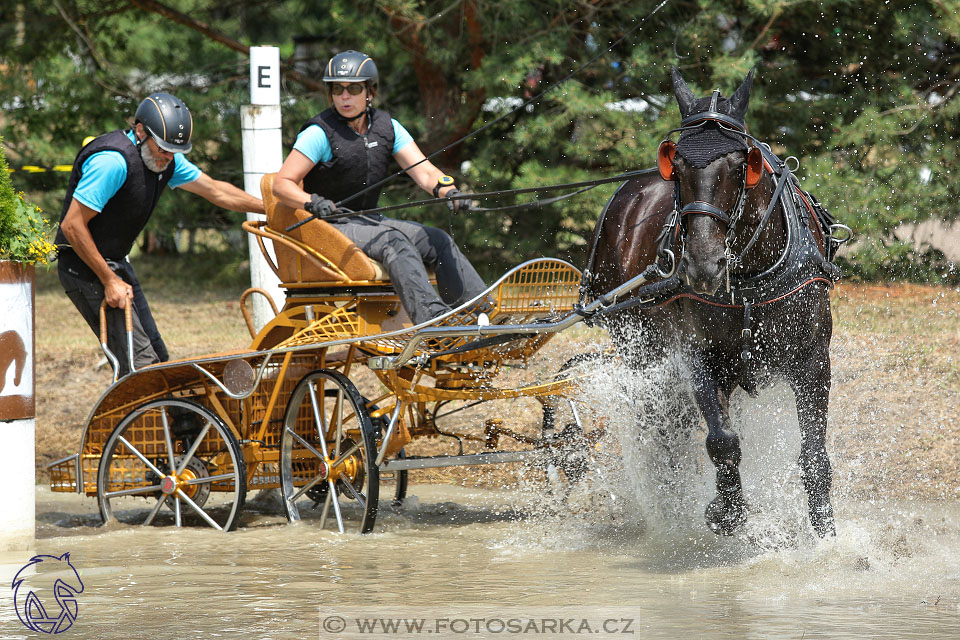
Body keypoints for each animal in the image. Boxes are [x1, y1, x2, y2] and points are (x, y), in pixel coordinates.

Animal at [584, 69, 848, 536]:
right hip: (640, 346)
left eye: (743, 164)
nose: (703, 264)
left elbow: (814, 458)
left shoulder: (813, 359)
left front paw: (828, 539)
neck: (749, 278)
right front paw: (727, 511)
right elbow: (722, 441)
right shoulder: (699, 355)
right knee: (663, 430)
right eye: (675, 165)